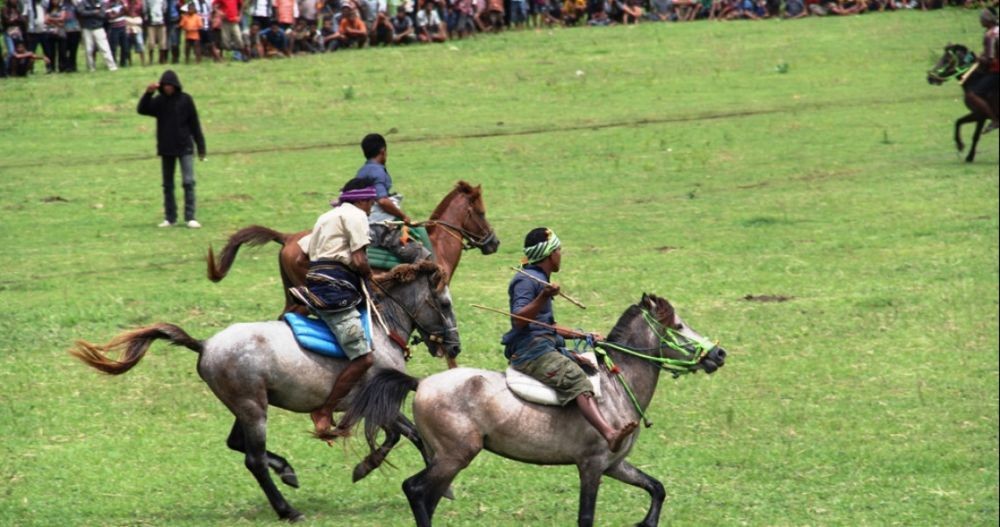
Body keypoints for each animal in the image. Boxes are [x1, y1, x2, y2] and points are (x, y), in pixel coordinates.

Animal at [71, 262, 460, 520]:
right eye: (444, 304)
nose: (454, 346)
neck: (382, 328)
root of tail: (205, 345)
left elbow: (411, 435)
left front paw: (442, 486)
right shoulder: (376, 403)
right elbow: (402, 435)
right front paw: (367, 467)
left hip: (244, 406)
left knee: (237, 444)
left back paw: (286, 470)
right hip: (253, 407)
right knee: (253, 459)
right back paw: (287, 509)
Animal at [344, 292, 728, 527]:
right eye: (677, 326)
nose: (719, 354)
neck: (617, 386)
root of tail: (421, 383)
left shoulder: (615, 465)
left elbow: (656, 488)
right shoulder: (591, 466)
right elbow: (586, 517)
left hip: (446, 459)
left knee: (427, 496)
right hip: (455, 455)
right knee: (416, 490)